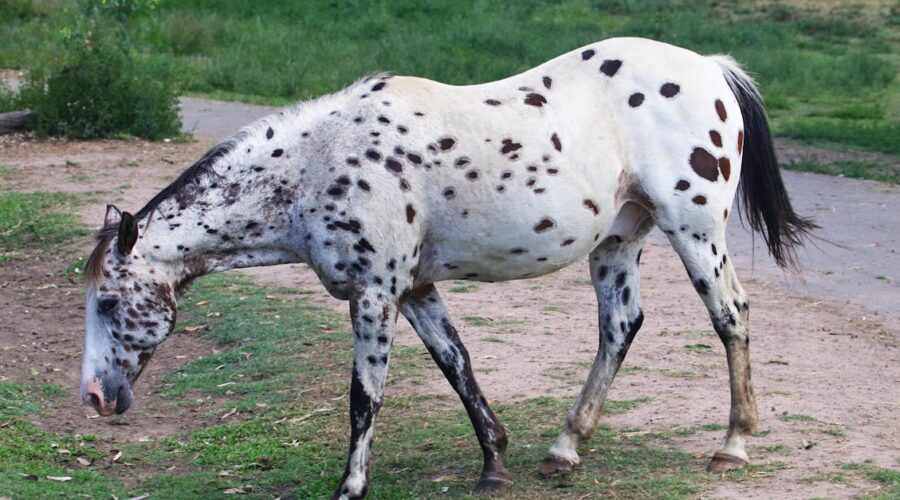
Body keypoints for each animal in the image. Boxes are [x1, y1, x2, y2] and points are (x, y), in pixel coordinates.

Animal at [80, 37, 814, 498]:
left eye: (109, 303)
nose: (93, 397)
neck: (319, 162)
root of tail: (711, 69)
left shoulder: (374, 295)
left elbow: (365, 398)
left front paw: (351, 486)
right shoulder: (416, 290)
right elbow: (457, 365)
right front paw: (494, 463)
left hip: (694, 229)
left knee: (730, 317)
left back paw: (732, 445)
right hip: (619, 240)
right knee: (620, 327)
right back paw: (564, 449)